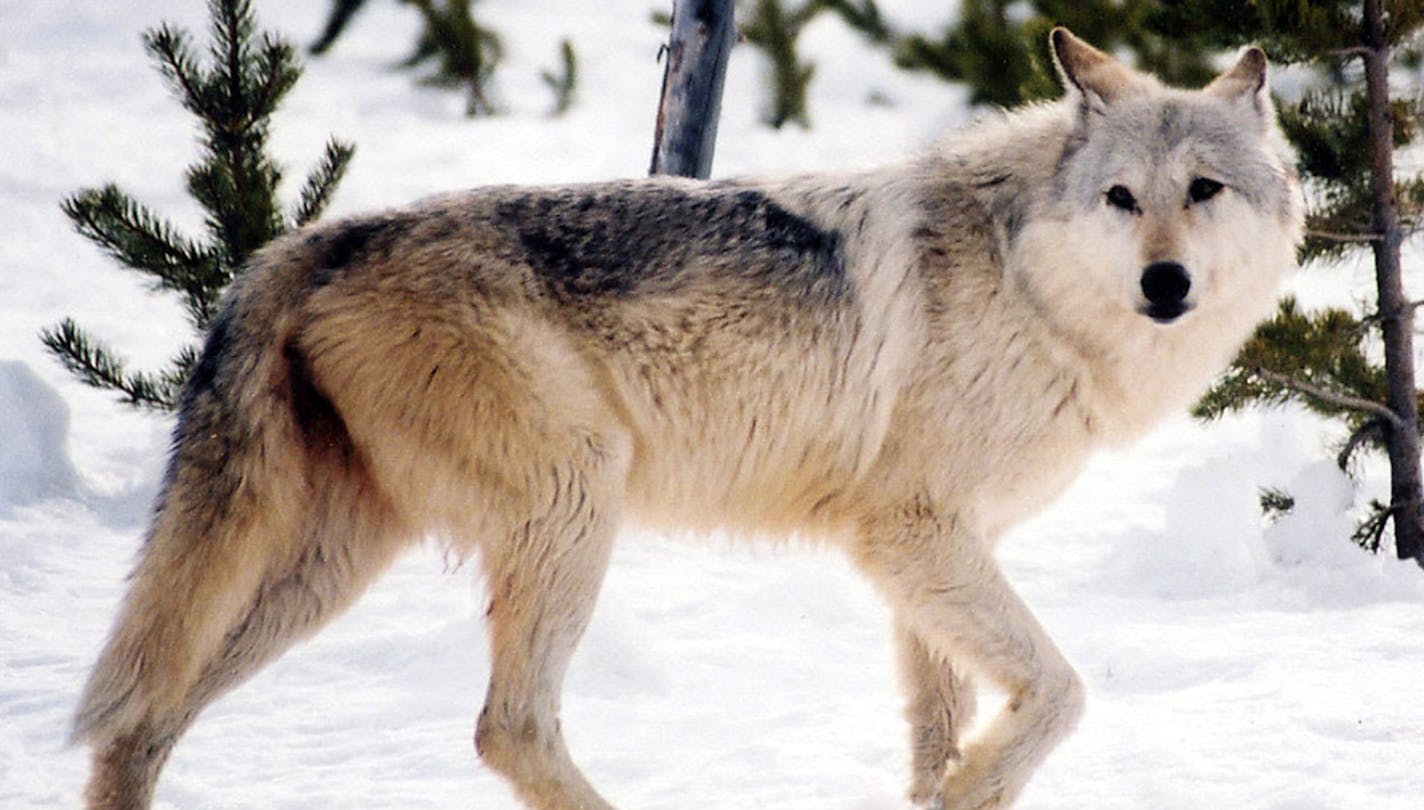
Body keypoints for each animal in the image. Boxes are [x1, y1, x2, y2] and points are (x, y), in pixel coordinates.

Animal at [75, 30, 1304, 808]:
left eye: (1203, 192)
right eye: (1121, 199)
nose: (1164, 284)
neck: (1029, 285)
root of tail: (308, 241)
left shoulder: (930, 554)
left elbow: (937, 731)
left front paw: (952, 787)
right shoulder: (911, 534)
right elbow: (1058, 691)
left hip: (330, 565)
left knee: (140, 722)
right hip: (573, 506)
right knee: (507, 727)